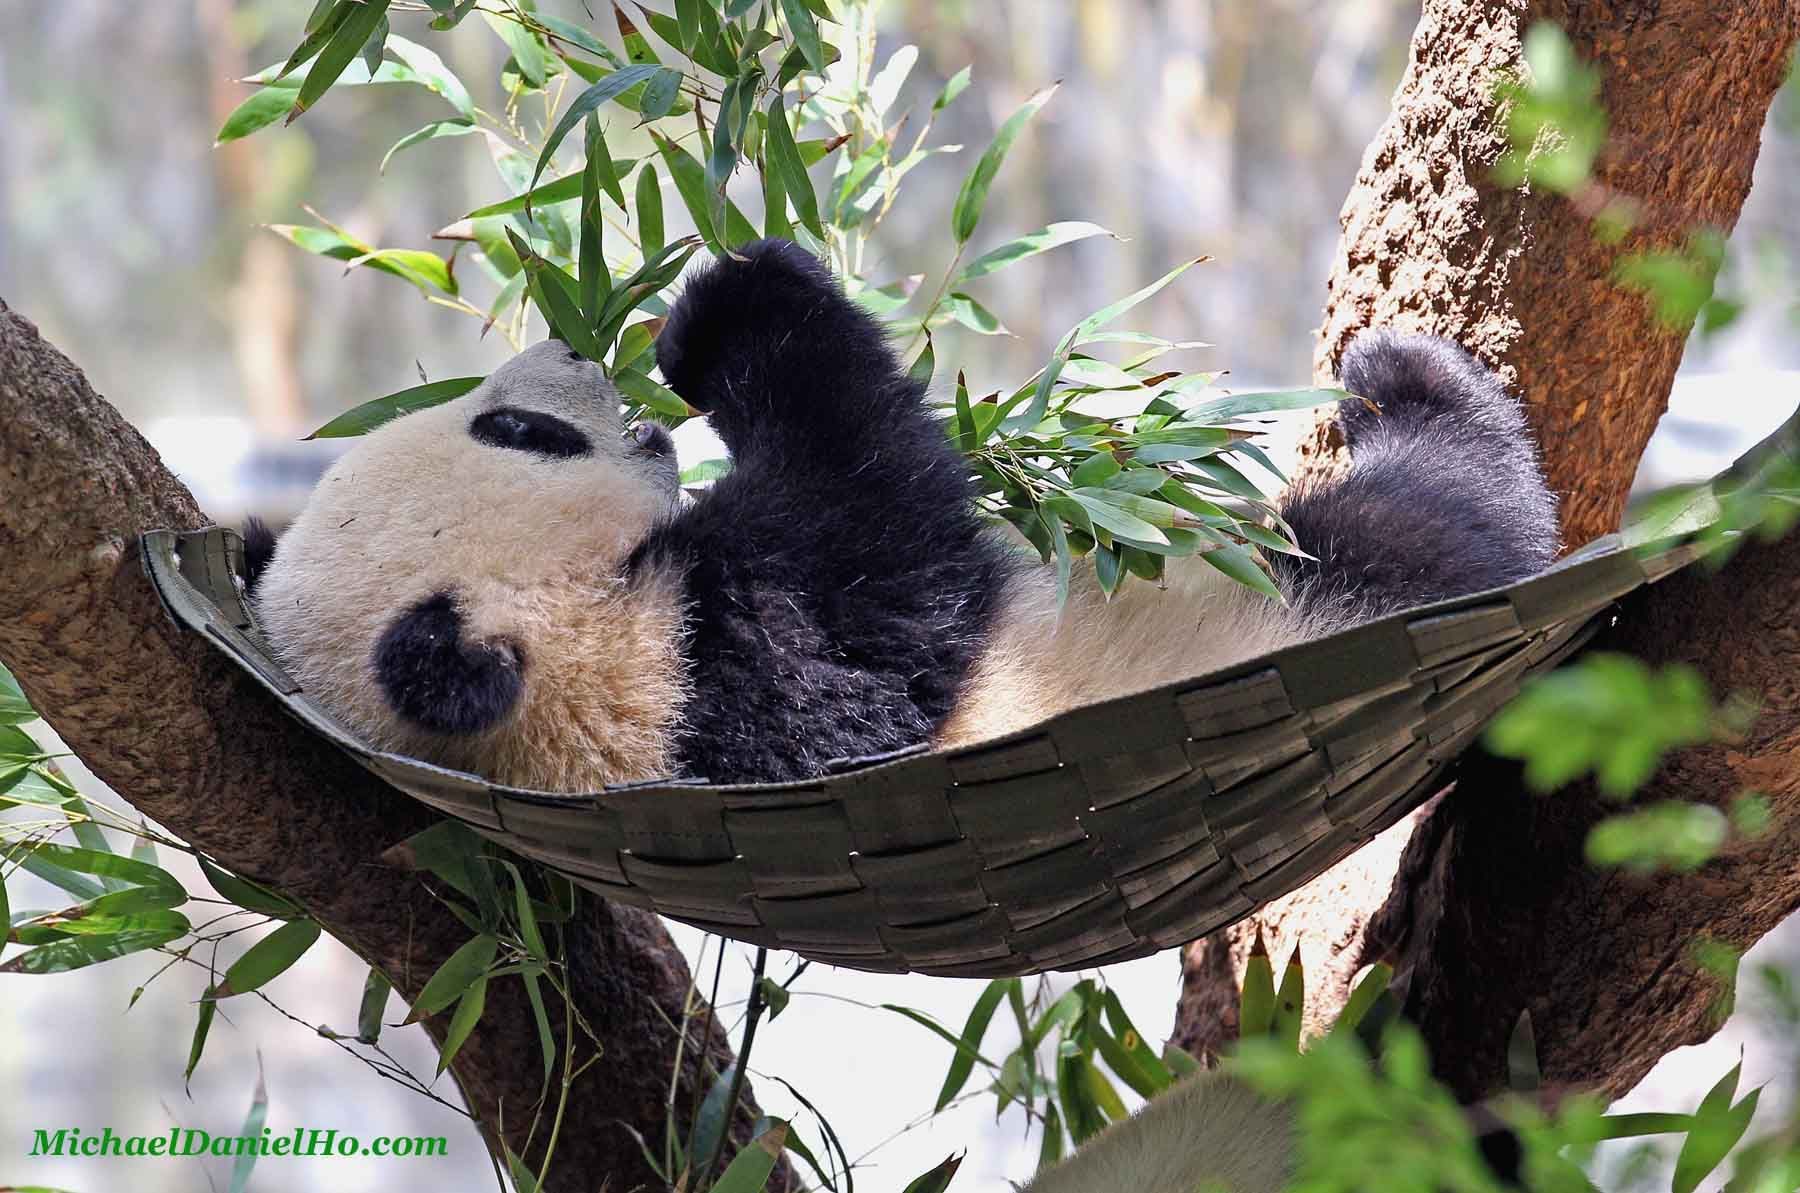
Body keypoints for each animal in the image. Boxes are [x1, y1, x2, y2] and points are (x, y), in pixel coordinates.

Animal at [247, 237, 1557, 794]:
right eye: (521, 434)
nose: (572, 347)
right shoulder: (736, 652)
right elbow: (881, 504)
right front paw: (728, 303)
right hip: (1292, 598)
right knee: (1425, 522)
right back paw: (1412, 387)